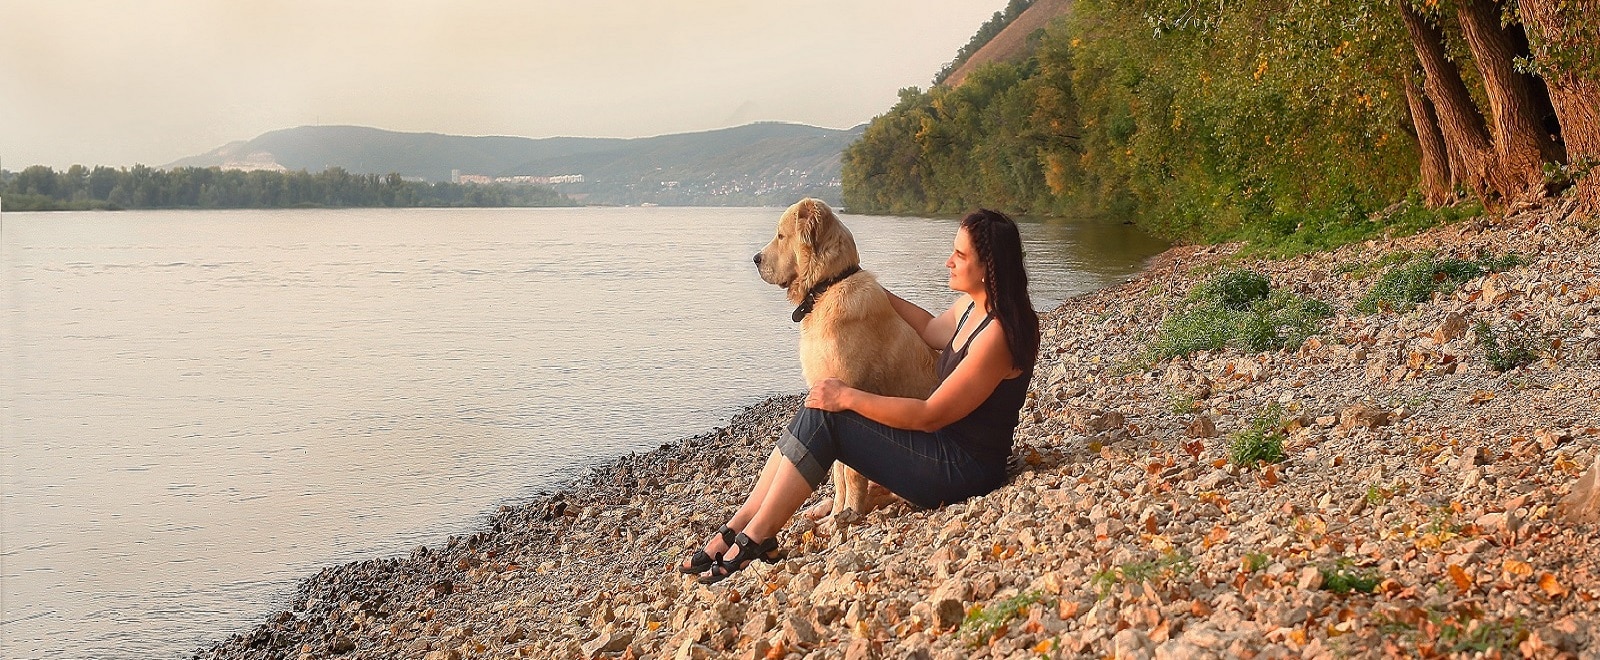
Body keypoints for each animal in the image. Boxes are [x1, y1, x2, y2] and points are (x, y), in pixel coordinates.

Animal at [748, 198, 934, 519]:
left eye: (781, 235)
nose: (756, 259)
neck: (827, 287)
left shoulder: (844, 396)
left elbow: (850, 473)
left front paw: (848, 513)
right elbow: (837, 472)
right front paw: (837, 509)